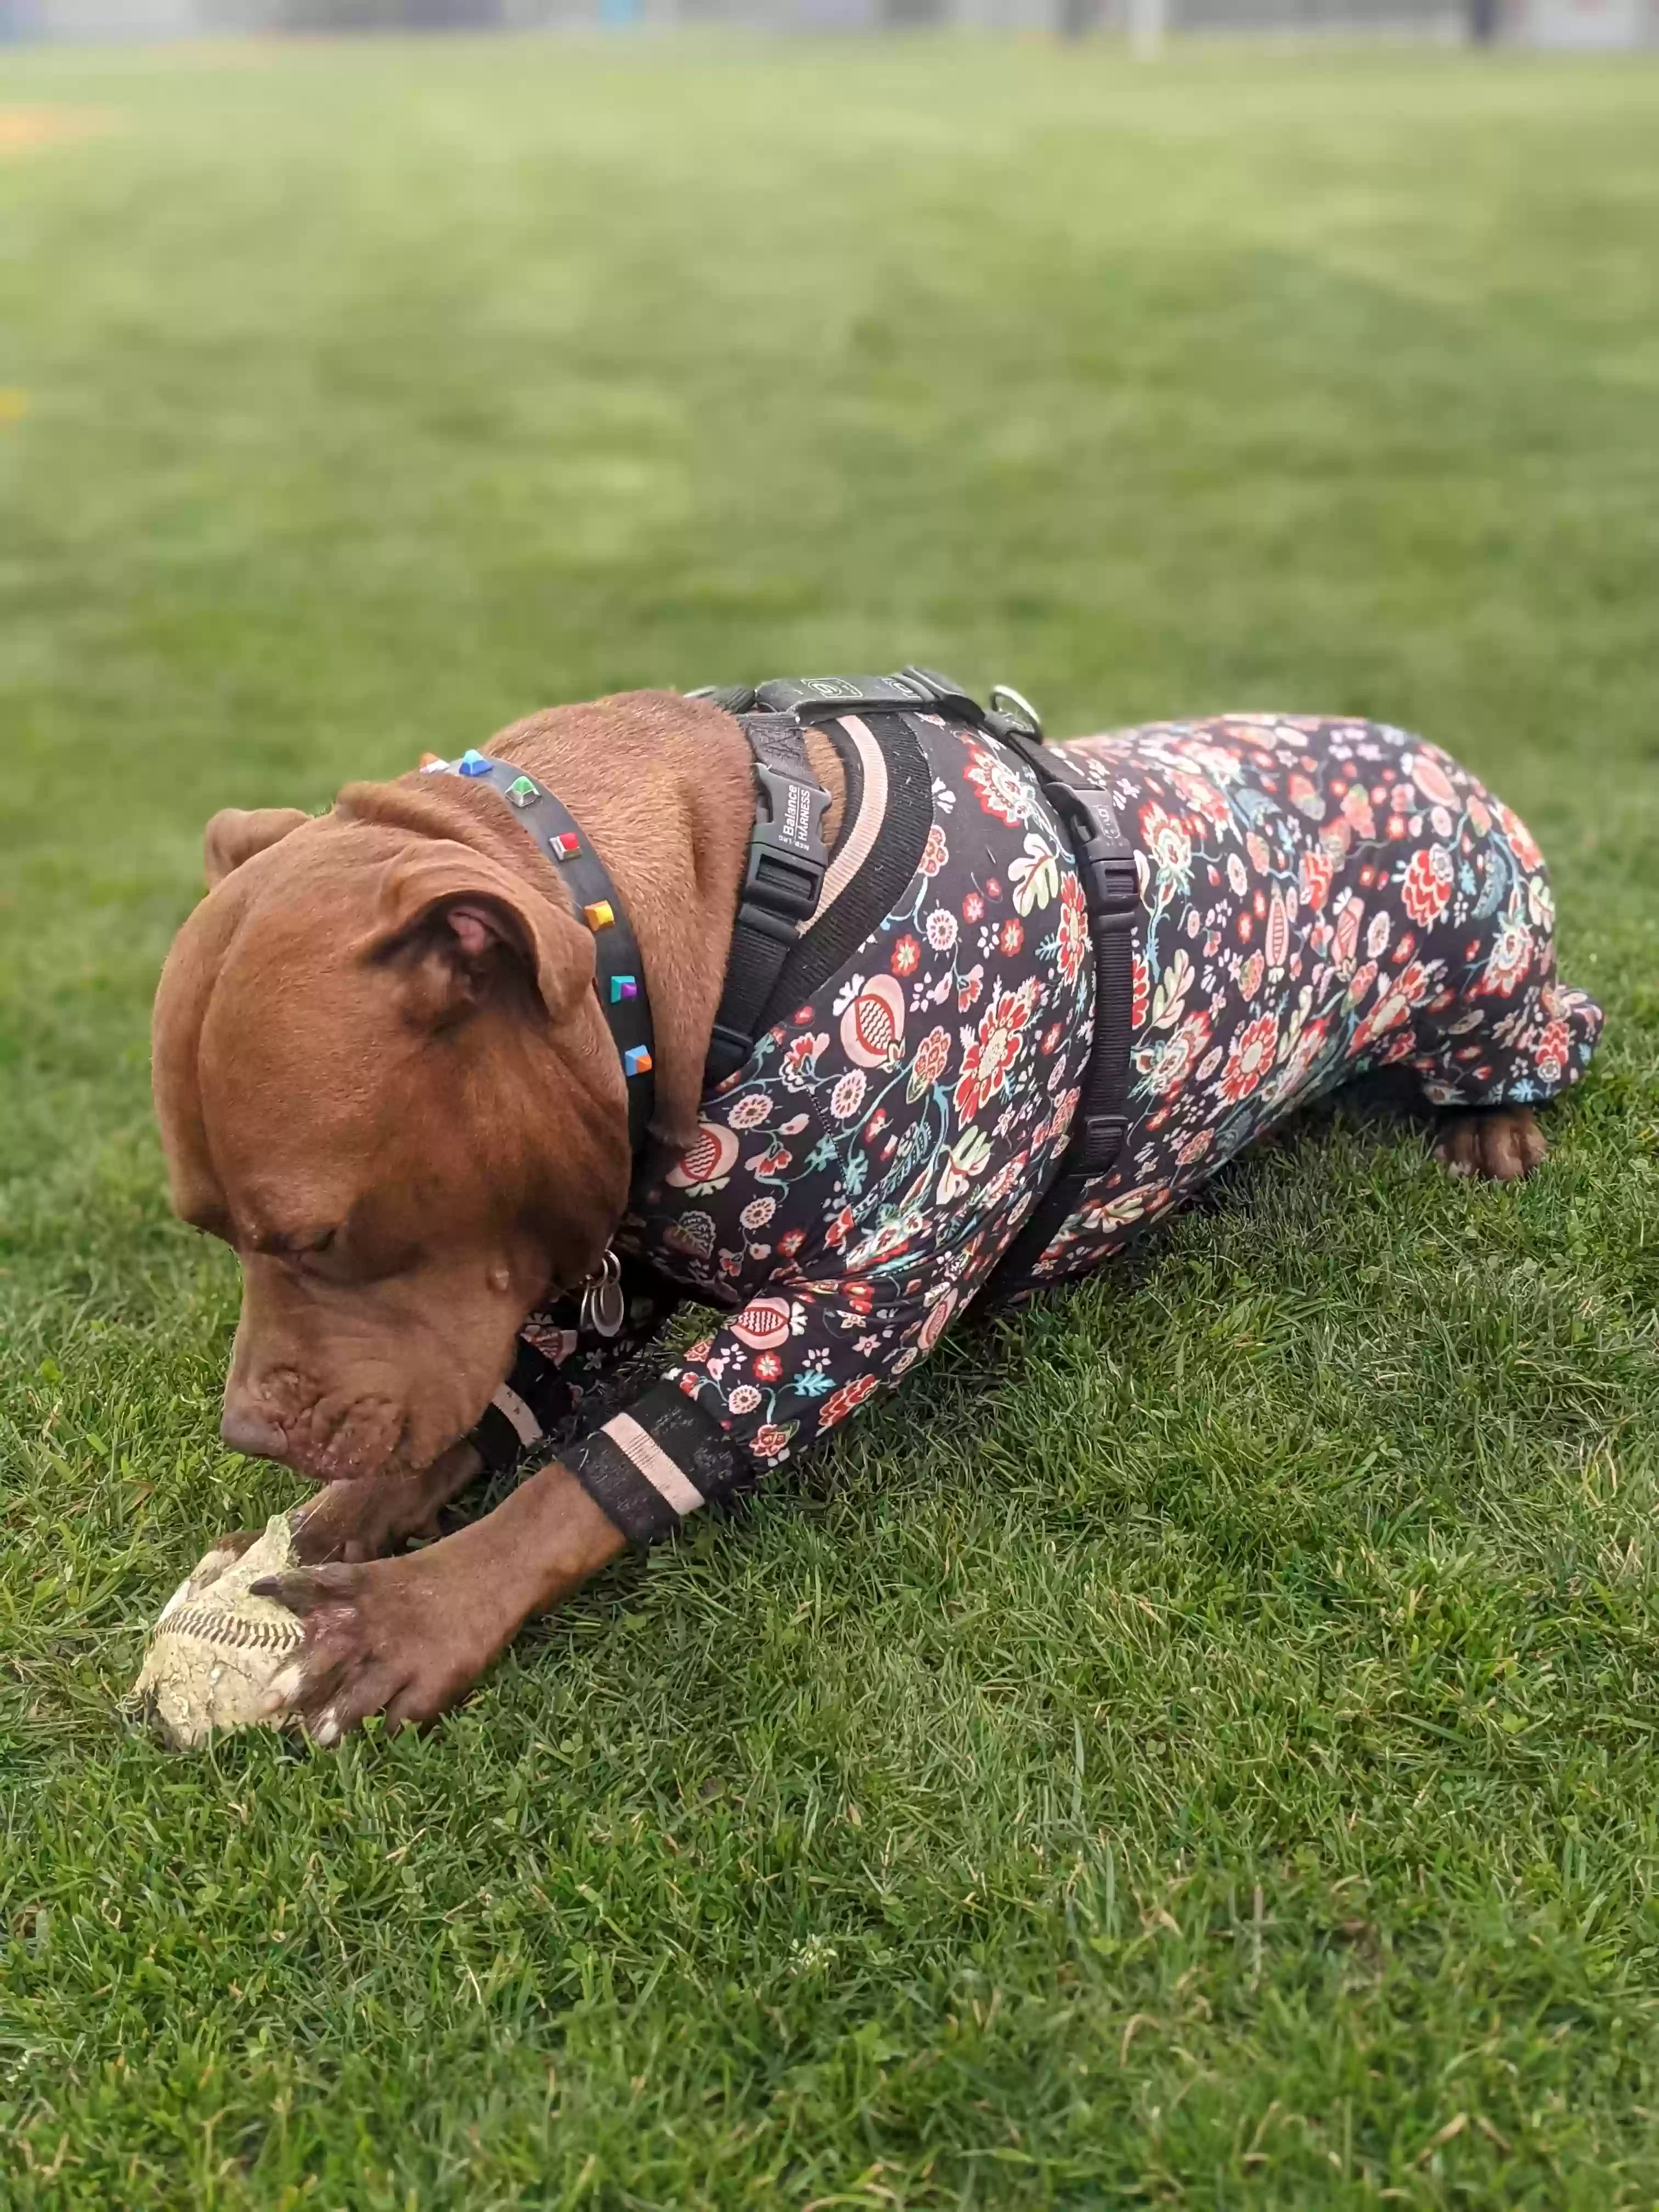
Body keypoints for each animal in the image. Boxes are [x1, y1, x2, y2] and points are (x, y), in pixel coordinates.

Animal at [153, 695, 1557, 1743]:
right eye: (207, 1230)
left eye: (319, 1238)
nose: (251, 1429)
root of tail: (1431, 748)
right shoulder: (621, 1262)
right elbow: (499, 1404)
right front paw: (349, 1508)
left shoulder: (864, 1300)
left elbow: (597, 1477)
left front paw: (421, 1606)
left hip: (1484, 987)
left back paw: (1501, 1121)